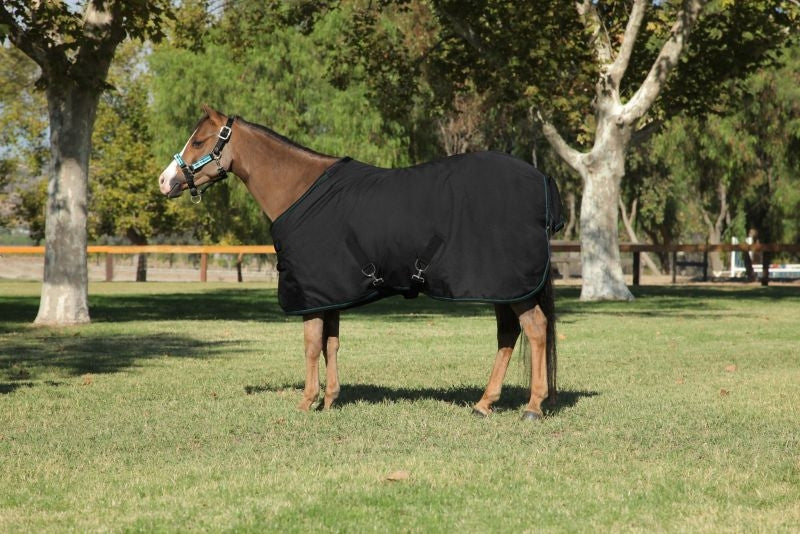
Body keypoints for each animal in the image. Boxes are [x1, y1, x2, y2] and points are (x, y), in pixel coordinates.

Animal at [158, 105, 562, 420]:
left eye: (198, 142)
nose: (165, 181)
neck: (299, 189)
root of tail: (541, 179)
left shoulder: (311, 293)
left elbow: (311, 344)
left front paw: (306, 402)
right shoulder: (330, 292)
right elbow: (331, 343)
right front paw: (329, 400)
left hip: (511, 285)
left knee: (536, 329)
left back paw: (533, 406)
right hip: (504, 287)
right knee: (509, 334)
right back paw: (484, 403)